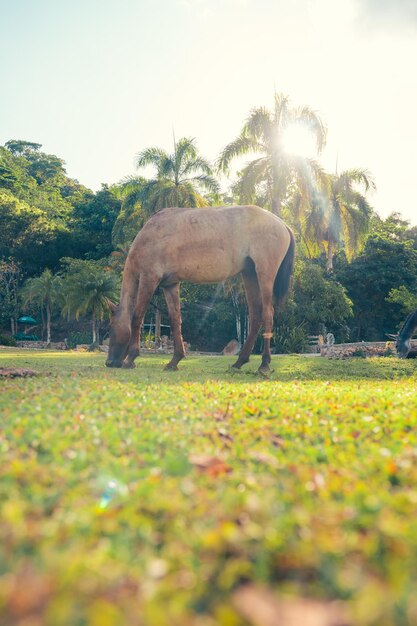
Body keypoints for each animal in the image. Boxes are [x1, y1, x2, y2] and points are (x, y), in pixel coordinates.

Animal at [105, 202, 294, 372]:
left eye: (111, 328)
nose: (109, 362)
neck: (148, 236)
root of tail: (282, 224)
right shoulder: (170, 284)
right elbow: (175, 320)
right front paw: (175, 360)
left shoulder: (148, 279)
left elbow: (137, 317)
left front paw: (131, 358)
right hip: (250, 274)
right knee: (256, 315)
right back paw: (239, 362)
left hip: (264, 273)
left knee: (268, 313)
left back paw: (264, 364)